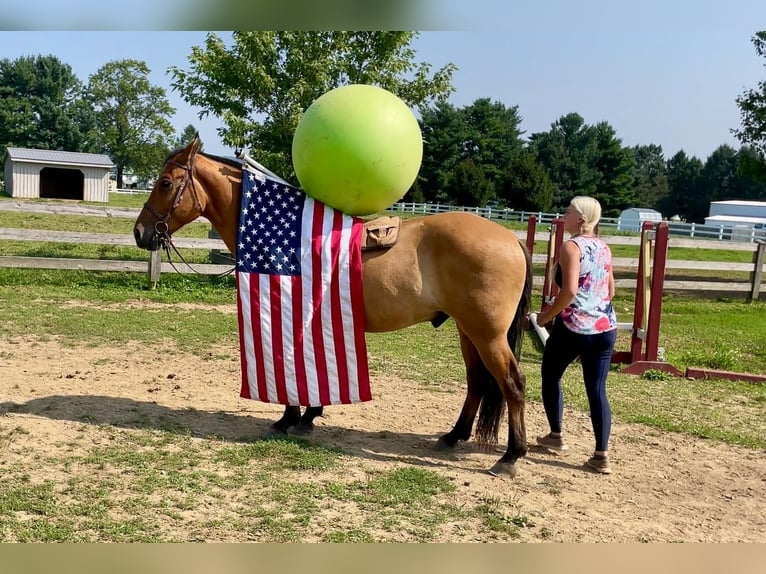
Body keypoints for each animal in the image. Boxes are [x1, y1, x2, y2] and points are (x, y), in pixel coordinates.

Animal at [132, 134, 536, 476]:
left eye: (165, 182)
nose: (140, 232)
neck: (287, 238)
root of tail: (512, 240)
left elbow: (293, 369)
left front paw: (289, 418)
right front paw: (308, 416)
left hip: (487, 334)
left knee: (513, 384)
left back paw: (510, 457)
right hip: (468, 331)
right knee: (476, 383)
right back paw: (453, 437)